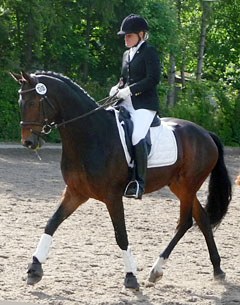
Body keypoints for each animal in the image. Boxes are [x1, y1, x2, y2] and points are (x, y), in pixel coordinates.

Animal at [10, 70, 232, 288]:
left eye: (33, 102)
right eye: (21, 102)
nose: (28, 142)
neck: (90, 135)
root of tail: (206, 133)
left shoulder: (112, 197)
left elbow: (121, 236)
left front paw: (131, 276)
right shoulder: (76, 192)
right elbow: (51, 223)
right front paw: (34, 268)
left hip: (188, 186)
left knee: (185, 222)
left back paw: (157, 269)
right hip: (180, 186)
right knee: (202, 219)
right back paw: (217, 269)